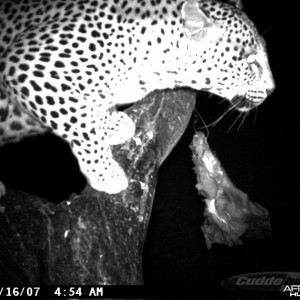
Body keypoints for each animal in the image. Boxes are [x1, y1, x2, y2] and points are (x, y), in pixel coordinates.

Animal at [0, 0, 276, 195]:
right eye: (251, 62)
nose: (272, 89)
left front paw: (111, 124)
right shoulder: (27, 67)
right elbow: (81, 126)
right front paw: (105, 172)